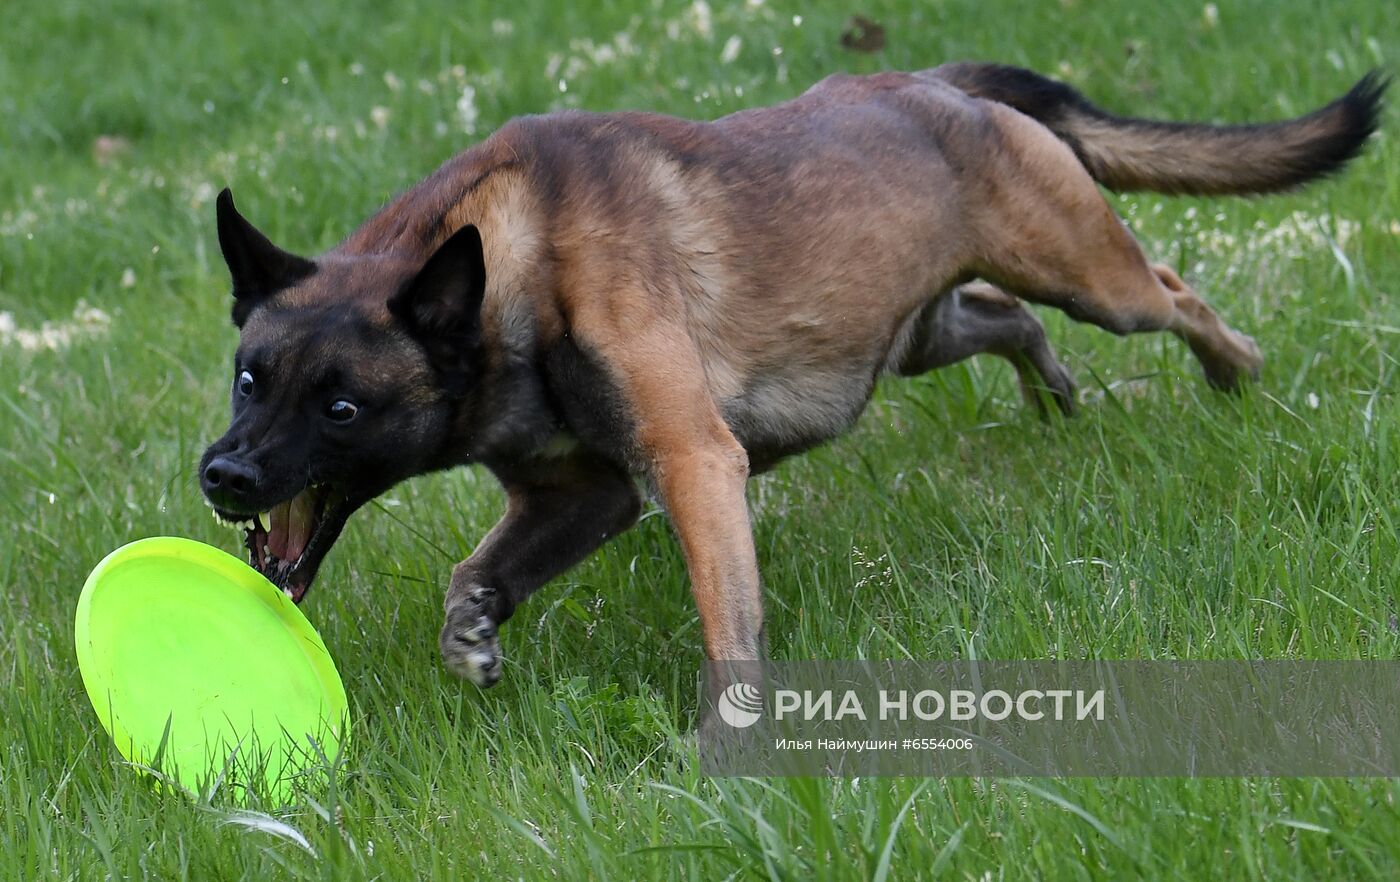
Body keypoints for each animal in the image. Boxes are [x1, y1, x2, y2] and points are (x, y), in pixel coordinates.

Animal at [203, 64, 1383, 691]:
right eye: (248, 378)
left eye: (342, 406)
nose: (220, 477)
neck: (511, 265)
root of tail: (941, 85)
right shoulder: (583, 494)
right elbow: (474, 575)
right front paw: (472, 640)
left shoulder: (690, 465)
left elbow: (727, 623)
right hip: (910, 337)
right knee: (1004, 321)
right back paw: (1054, 397)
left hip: (1091, 278)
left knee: (1172, 292)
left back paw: (1236, 374)